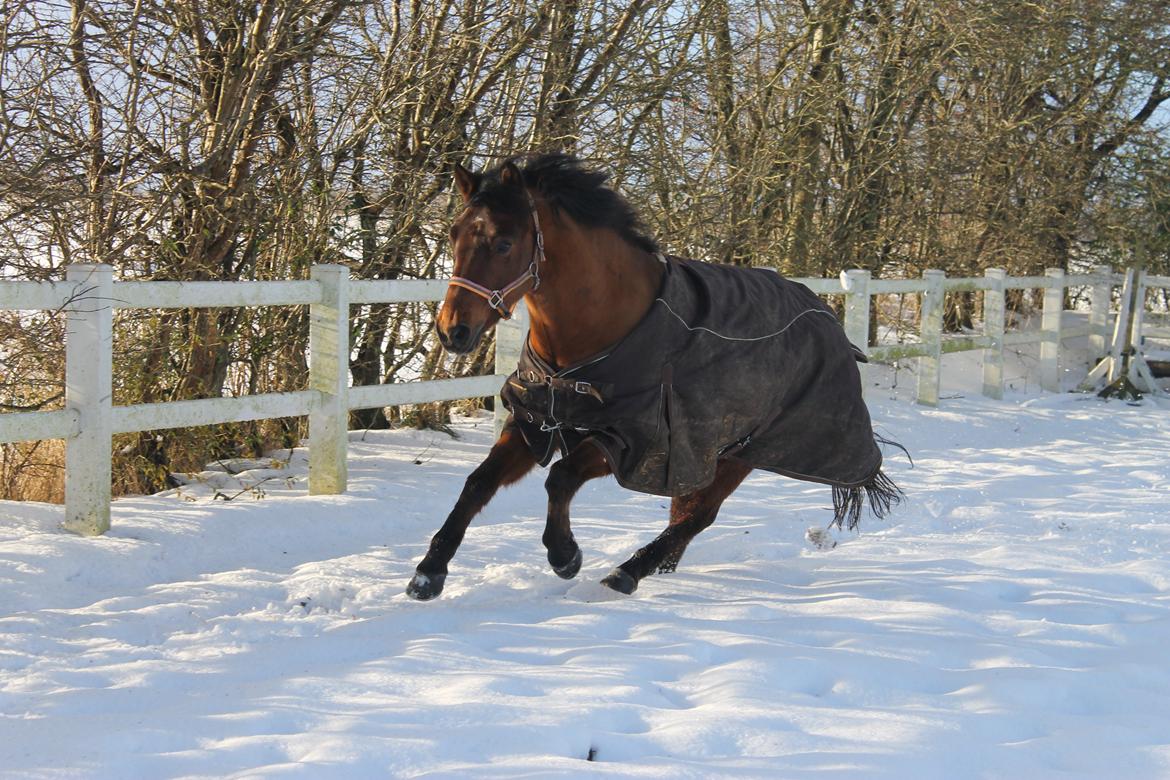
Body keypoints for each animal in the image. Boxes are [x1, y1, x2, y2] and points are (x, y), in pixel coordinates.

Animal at [407, 154, 898, 603]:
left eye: (504, 243)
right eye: (454, 235)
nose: (452, 331)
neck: (593, 336)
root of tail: (826, 314)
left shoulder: (632, 441)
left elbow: (560, 477)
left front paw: (565, 555)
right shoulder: (534, 421)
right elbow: (478, 483)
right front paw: (428, 574)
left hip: (743, 452)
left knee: (698, 516)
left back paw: (628, 572)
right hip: (718, 453)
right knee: (688, 511)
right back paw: (657, 566)